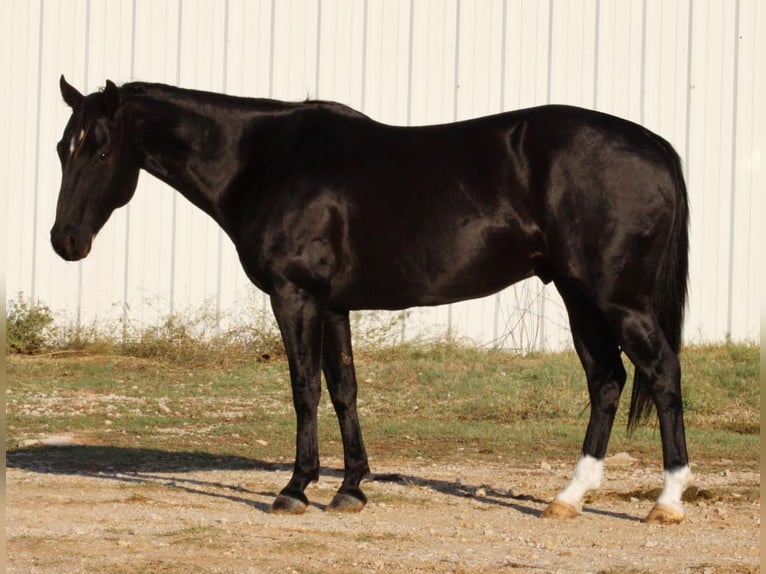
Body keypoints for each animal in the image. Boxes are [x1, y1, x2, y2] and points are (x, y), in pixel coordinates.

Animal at [51, 77, 692, 528]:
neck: (263, 159)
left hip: (618, 299)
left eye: (101, 152)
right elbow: (344, 389)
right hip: (578, 294)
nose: (65, 242)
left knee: (661, 373)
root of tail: (655, 146)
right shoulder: (333, 305)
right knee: (607, 379)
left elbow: (305, 388)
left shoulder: (296, 296)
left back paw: (667, 502)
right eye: (63, 148)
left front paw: (296, 489)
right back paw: (569, 497)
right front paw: (351, 487)